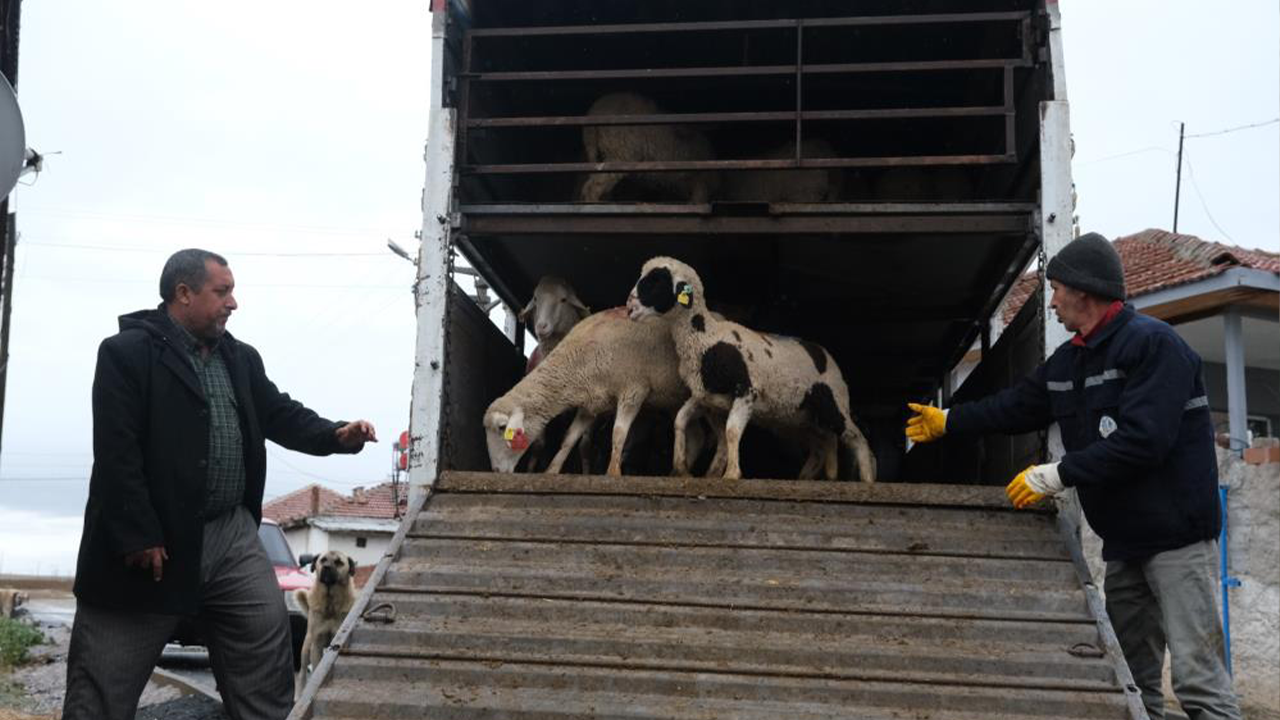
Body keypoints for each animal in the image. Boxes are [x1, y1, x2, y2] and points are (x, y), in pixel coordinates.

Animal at [293, 548, 355, 696]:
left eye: (339, 562)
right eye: (323, 560)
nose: (326, 568)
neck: (330, 602)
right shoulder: (317, 643)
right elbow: (315, 667)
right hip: (306, 648)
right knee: (302, 672)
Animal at [481, 304, 721, 474]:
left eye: (502, 428)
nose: (496, 470)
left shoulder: (634, 390)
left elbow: (618, 433)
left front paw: (613, 473)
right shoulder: (590, 405)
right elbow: (569, 438)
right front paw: (551, 471)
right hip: (673, 401)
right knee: (697, 436)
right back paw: (679, 472)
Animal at [581, 90, 721, 202]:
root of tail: (594, 112)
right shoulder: (701, 181)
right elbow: (698, 199)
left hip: (597, 153)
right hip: (621, 153)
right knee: (594, 186)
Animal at [622, 253, 880, 481]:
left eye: (657, 280)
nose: (629, 307)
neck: (707, 339)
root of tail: (822, 352)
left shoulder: (747, 391)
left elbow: (732, 431)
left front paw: (732, 474)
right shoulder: (705, 396)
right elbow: (680, 420)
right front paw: (681, 468)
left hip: (833, 402)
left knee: (857, 438)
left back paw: (867, 479)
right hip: (805, 416)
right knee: (823, 443)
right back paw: (814, 477)